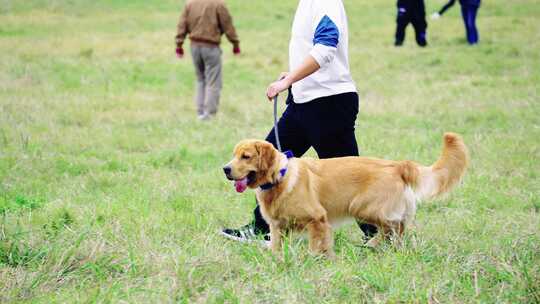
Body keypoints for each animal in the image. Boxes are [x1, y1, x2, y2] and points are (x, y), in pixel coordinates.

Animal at [221, 132, 466, 256]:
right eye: (233, 155)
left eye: (246, 156)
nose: (225, 169)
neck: (279, 177)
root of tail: (398, 165)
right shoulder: (277, 226)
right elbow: (275, 246)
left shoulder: (317, 219)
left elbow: (316, 245)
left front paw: (316, 259)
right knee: (399, 228)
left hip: (362, 207)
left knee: (393, 226)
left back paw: (373, 245)